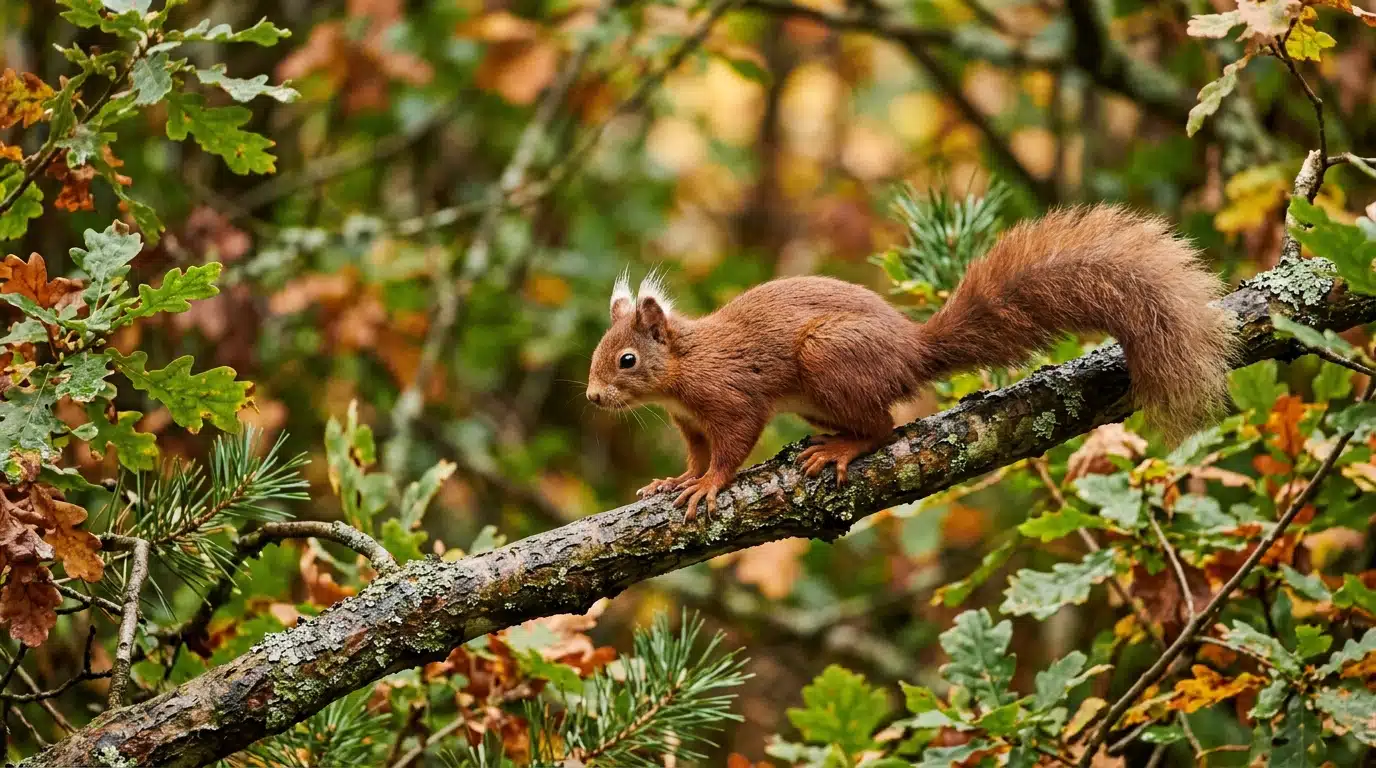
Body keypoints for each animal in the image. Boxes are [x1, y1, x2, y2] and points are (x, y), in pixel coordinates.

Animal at [586, 205, 1238, 521]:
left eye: (626, 360)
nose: (592, 398)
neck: (681, 371)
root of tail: (910, 351)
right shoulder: (690, 422)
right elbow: (697, 454)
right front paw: (676, 481)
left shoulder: (730, 397)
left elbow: (732, 447)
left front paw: (708, 486)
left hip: (828, 359)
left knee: (883, 426)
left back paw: (841, 449)